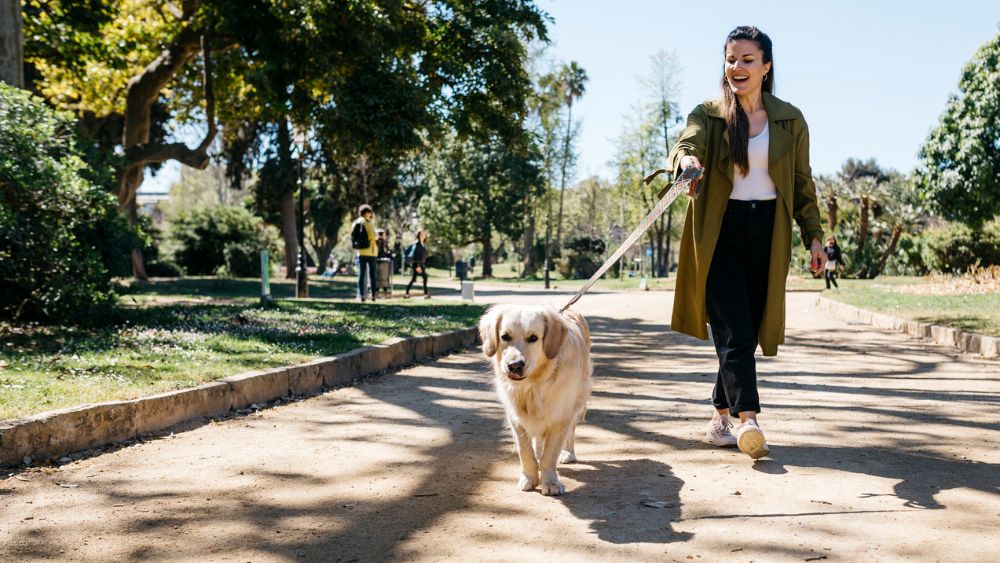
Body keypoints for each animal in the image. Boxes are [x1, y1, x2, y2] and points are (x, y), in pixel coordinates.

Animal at [478, 306, 588, 496]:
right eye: (505, 336)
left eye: (533, 338)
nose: (515, 365)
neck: (533, 385)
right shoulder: (516, 418)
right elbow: (525, 452)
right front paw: (529, 478)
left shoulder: (560, 416)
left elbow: (549, 456)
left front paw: (550, 483)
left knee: (571, 431)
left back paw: (568, 454)